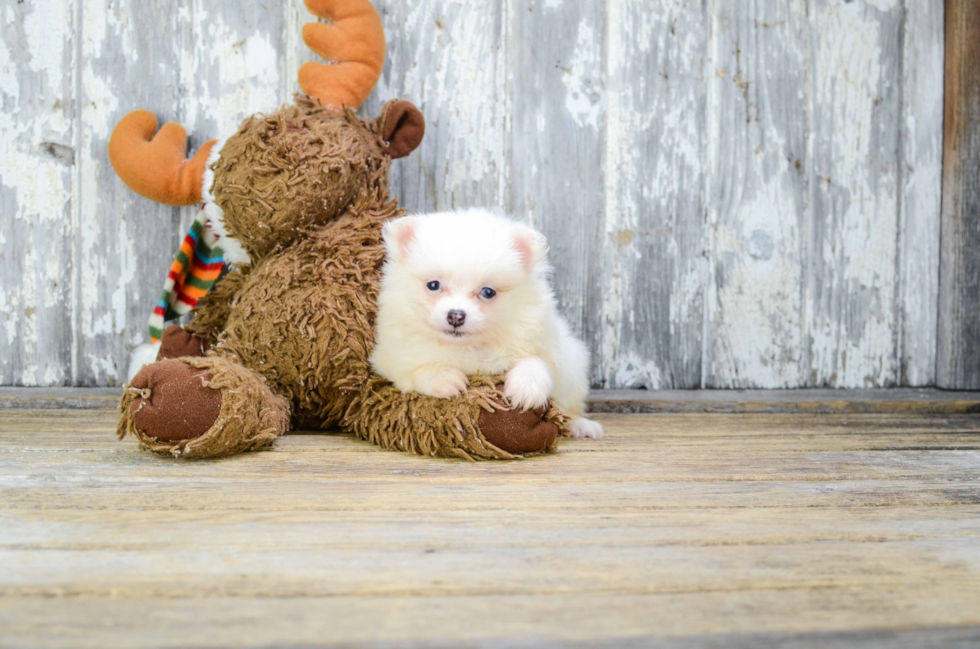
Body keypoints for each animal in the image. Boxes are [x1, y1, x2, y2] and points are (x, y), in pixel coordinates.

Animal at [370, 210, 604, 438]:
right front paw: (446, 379)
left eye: (488, 292)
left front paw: (527, 388)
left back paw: (581, 426)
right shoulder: (390, 359)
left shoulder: (547, 346)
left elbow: (535, 362)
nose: (456, 316)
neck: (467, 346)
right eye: (433, 285)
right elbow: (418, 370)